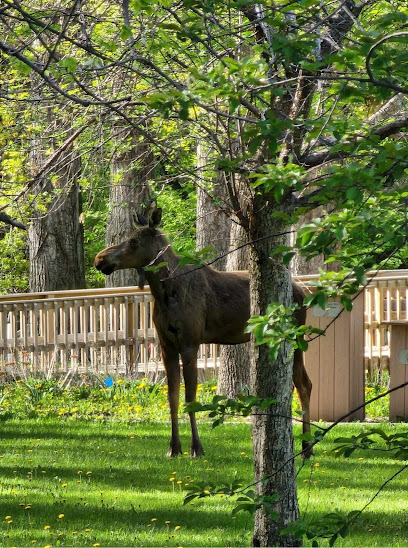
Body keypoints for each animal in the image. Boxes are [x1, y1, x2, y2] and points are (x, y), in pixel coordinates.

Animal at [95, 208, 312, 456]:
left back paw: (306, 446)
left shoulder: (190, 343)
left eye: (133, 241)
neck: (163, 291)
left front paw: (196, 447)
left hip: (295, 337)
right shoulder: (166, 345)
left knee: (303, 383)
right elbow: (172, 396)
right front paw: (174, 447)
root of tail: (303, 291)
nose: (100, 259)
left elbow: (190, 397)